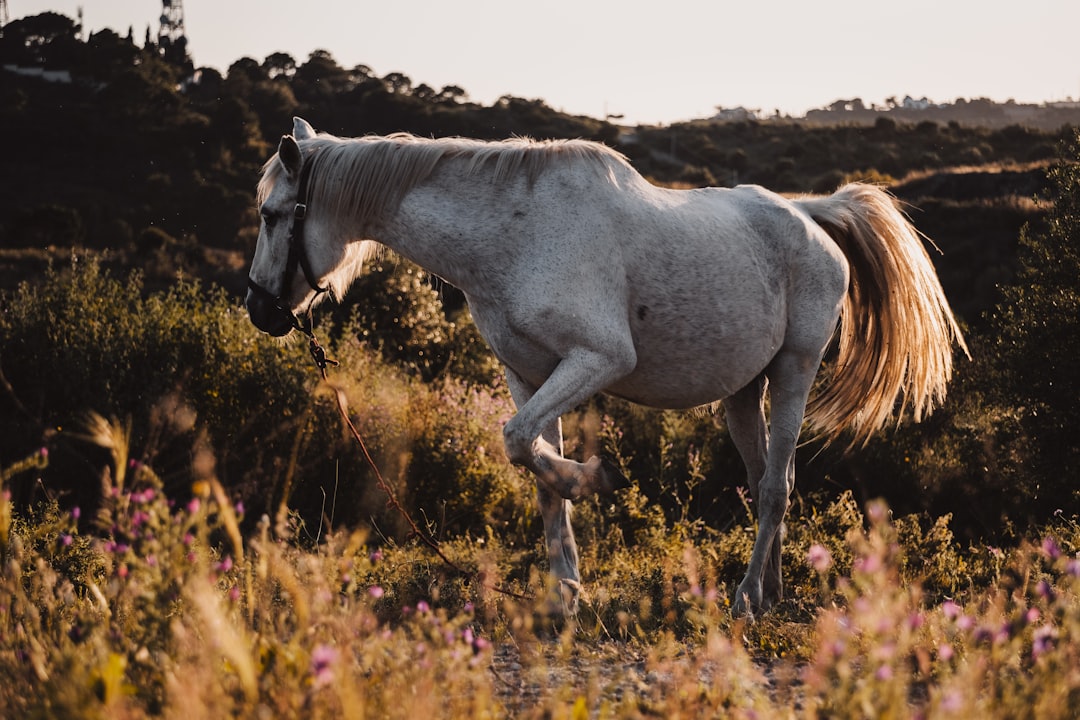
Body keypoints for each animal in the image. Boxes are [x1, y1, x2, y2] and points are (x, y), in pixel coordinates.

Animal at [247, 117, 972, 613]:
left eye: (271, 214)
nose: (258, 308)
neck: (513, 233)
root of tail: (809, 214)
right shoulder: (529, 374)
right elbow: (530, 459)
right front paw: (565, 587)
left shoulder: (596, 360)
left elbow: (521, 445)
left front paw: (589, 480)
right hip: (744, 394)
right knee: (773, 478)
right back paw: (769, 590)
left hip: (794, 372)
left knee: (773, 489)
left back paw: (744, 597)